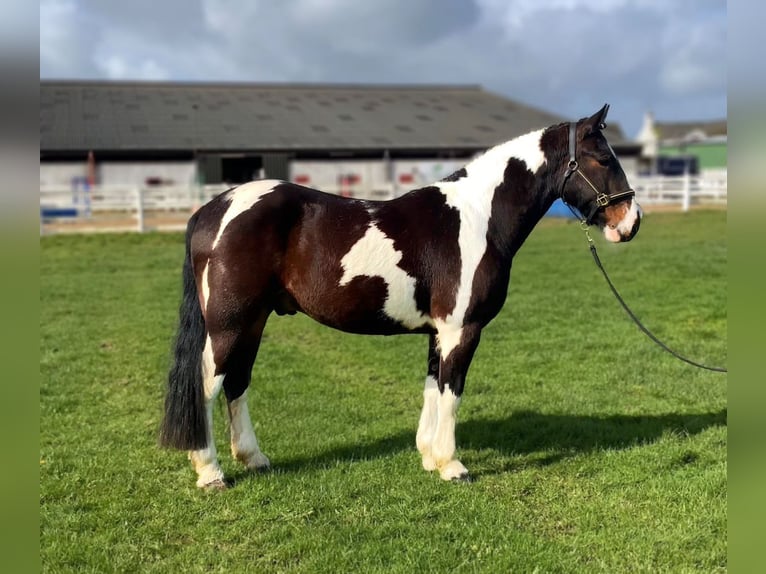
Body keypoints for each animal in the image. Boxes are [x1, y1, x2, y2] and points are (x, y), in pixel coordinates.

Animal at [159, 104, 642, 489]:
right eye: (602, 157)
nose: (631, 221)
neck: (479, 217)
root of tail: (212, 209)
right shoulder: (461, 329)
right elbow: (452, 390)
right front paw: (452, 466)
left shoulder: (438, 331)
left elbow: (433, 386)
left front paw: (429, 456)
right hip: (229, 324)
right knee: (207, 385)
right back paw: (211, 473)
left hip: (253, 321)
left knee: (237, 382)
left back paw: (254, 459)